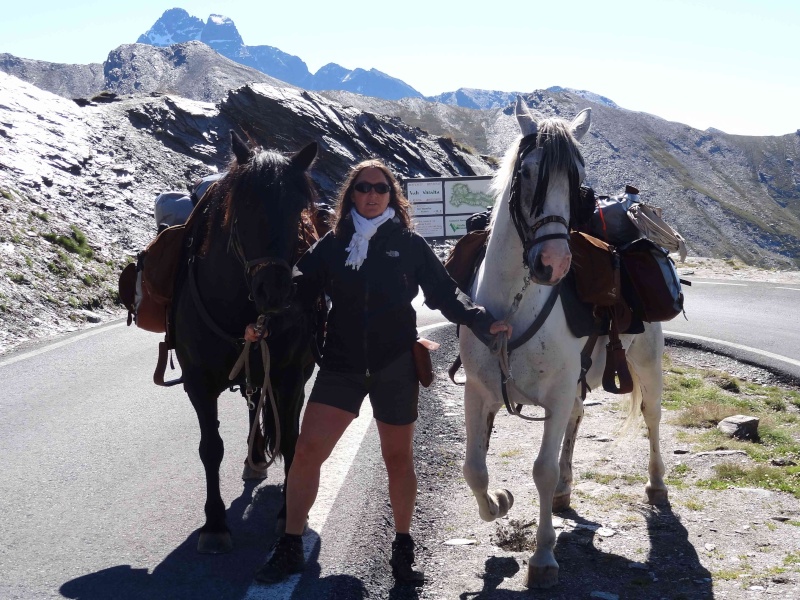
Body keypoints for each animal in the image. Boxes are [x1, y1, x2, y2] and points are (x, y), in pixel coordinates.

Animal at [460, 98, 664, 592]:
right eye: (526, 171)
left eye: (578, 179)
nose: (553, 264)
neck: (513, 305)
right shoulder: (477, 391)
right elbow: (474, 468)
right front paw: (499, 501)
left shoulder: (552, 394)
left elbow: (542, 469)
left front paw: (544, 557)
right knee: (576, 417)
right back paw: (566, 492)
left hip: (646, 362)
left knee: (652, 416)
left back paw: (656, 484)